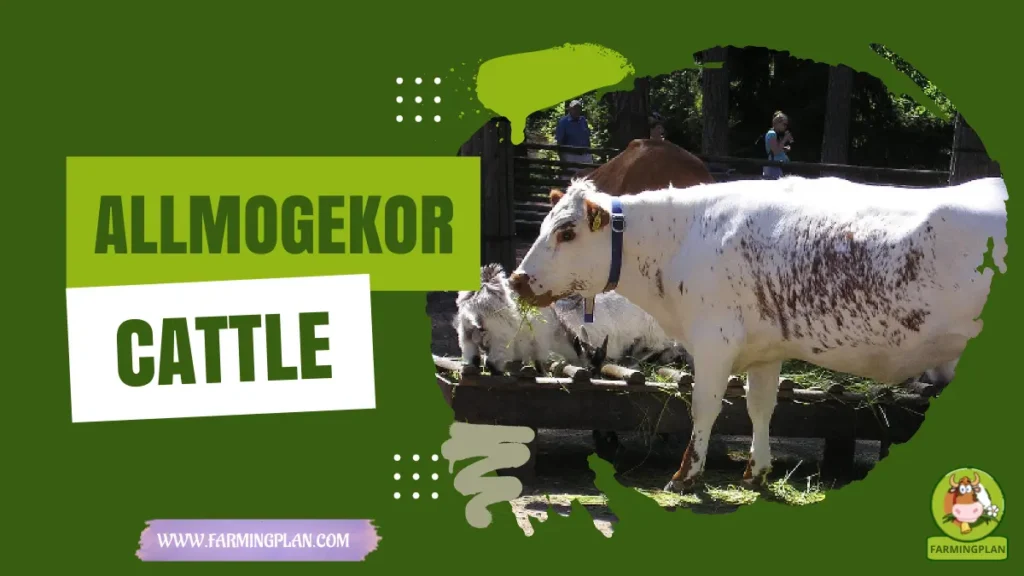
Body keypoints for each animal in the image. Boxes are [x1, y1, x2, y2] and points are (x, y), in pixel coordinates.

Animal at [508, 174, 1008, 493]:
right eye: (544, 225)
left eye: (567, 232)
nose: (517, 279)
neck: (682, 242)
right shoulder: (766, 348)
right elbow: (760, 407)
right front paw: (757, 471)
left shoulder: (713, 340)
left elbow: (704, 408)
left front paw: (686, 476)